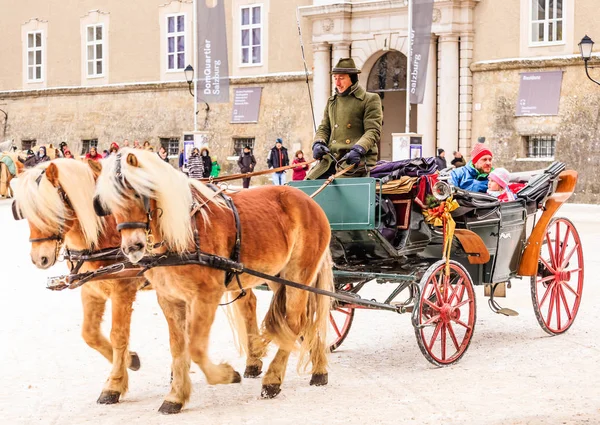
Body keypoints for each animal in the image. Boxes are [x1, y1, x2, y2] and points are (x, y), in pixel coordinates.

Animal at [94, 149, 332, 414]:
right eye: (107, 203)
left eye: (137, 193)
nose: (132, 247)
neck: (184, 233)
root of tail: (308, 201)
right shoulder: (169, 298)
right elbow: (178, 346)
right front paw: (176, 396)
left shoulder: (206, 296)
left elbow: (196, 348)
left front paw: (227, 375)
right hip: (278, 277)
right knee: (305, 322)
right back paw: (318, 370)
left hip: (298, 275)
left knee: (294, 323)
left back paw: (273, 379)